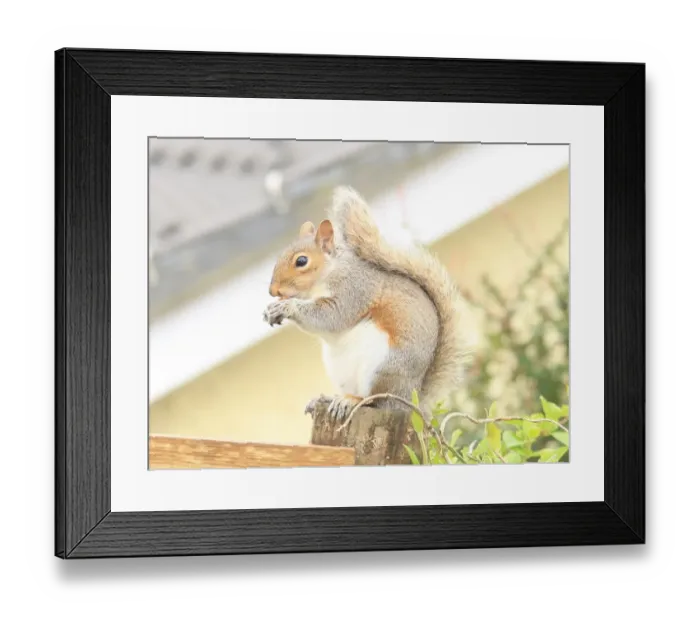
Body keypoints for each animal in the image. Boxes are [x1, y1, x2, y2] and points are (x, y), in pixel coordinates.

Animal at [263, 185, 474, 423]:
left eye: (301, 261)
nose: (273, 291)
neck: (329, 272)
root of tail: (411, 399)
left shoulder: (354, 290)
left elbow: (332, 316)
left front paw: (287, 307)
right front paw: (270, 310)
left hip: (382, 368)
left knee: (374, 401)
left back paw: (350, 401)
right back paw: (328, 399)